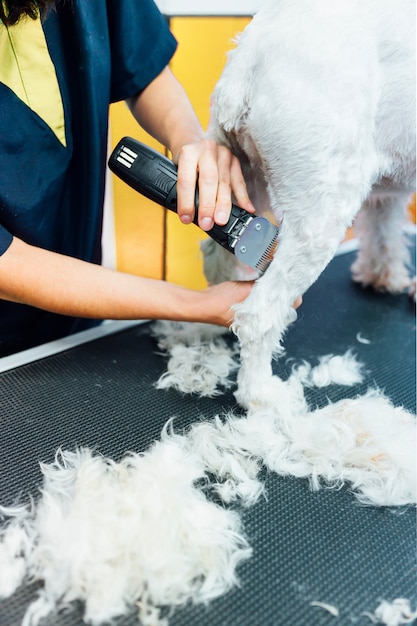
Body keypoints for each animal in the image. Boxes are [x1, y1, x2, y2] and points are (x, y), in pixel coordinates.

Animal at [206, 0, 416, 410]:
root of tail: (253, 50)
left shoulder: (388, 192)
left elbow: (384, 234)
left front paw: (383, 277)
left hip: (240, 181)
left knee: (214, 257)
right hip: (321, 214)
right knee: (258, 317)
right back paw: (262, 395)